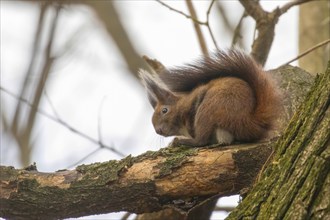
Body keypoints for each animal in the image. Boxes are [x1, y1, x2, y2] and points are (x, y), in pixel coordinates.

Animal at [139, 49, 282, 146]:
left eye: (164, 110)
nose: (158, 131)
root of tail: (248, 122)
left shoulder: (197, 96)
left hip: (208, 109)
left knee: (201, 141)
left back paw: (184, 142)